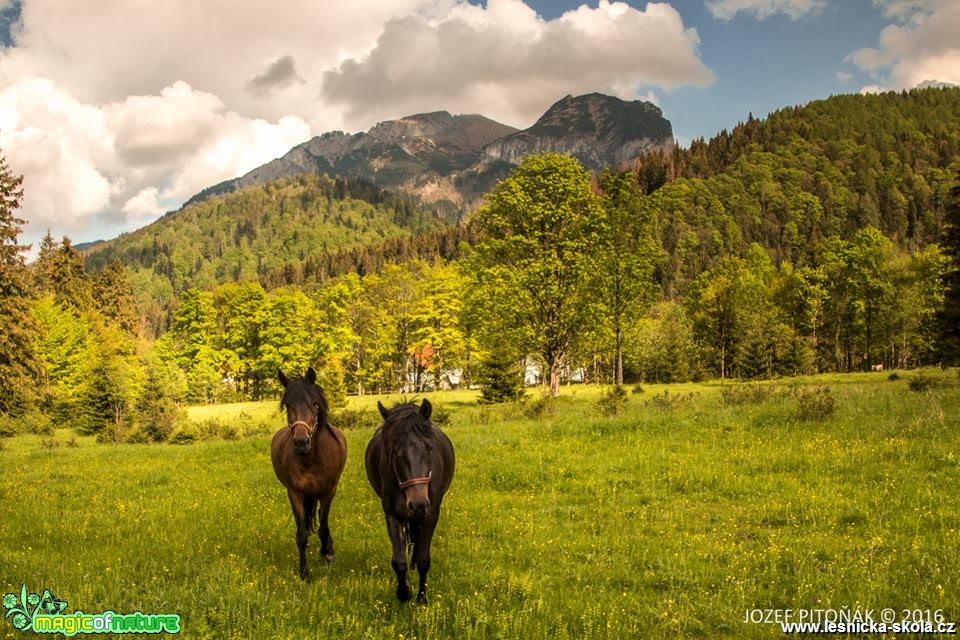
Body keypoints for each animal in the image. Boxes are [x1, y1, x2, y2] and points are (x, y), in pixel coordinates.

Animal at [268, 364, 346, 580]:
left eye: (314, 403)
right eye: (288, 405)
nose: (301, 443)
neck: (311, 459)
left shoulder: (328, 492)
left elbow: (324, 527)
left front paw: (327, 554)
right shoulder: (295, 493)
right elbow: (302, 534)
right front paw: (304, 572)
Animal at [364, 398, 454, 604]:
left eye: (429, 448)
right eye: (393, 451)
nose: (418, 502)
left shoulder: (430, 514)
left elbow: (423, 559)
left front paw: (422, 597)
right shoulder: (392, 515)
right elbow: (398, 561)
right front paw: (403, 593)